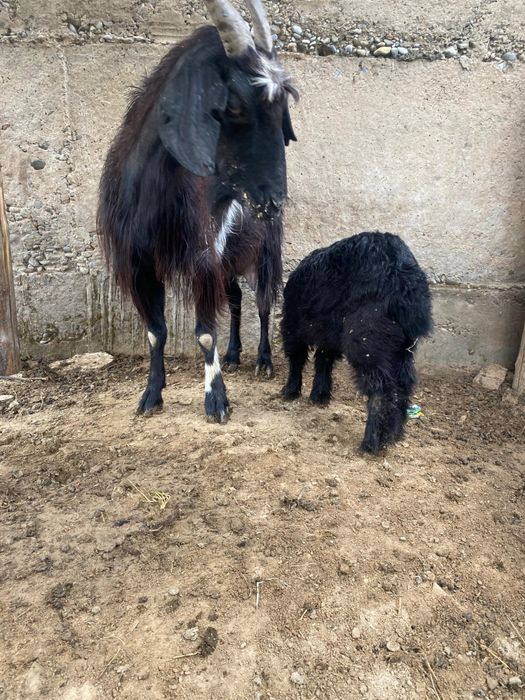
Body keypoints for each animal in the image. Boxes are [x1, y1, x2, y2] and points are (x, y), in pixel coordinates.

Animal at [97, 0, 297, 422]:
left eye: (282, 107)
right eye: (233, 104)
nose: (273, 200)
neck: (153, 201)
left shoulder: (202, 257)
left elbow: (205, 332)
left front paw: (217, 401)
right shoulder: (139, 264)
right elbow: (155, 331)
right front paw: (151, 395)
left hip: (263, 253)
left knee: (263, 302)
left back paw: (263, 361)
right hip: (229, 259)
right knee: (235, 299)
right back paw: (235, 355)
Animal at [280, 232, 432, 454]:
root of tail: (405, 281)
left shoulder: (293, 324)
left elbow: (297, 357)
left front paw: (290, 391)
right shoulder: (329, 331)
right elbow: (324, 360)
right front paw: (319, 395)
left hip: (365, 339)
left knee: (380, 389)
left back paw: (371, 443)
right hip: (402, 348)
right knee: (403, 384)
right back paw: (394, 435)